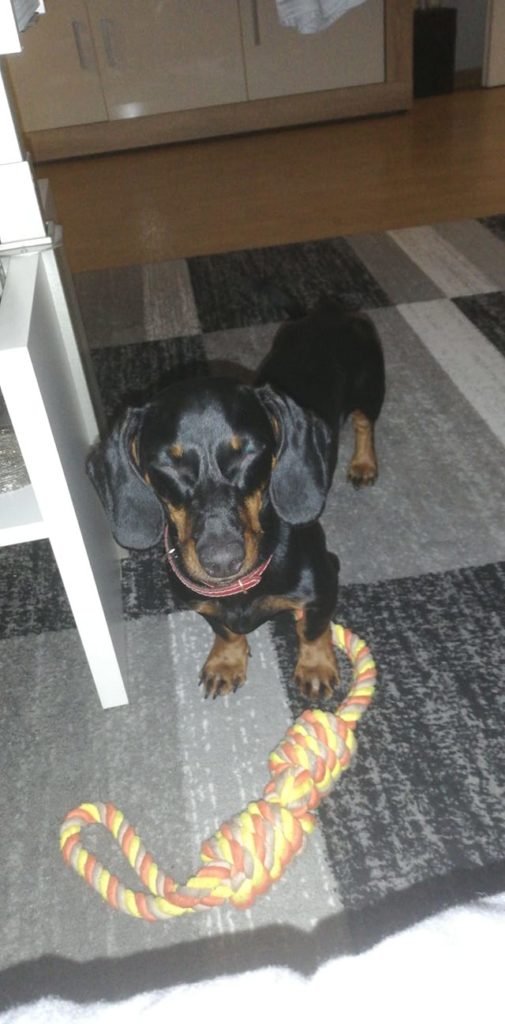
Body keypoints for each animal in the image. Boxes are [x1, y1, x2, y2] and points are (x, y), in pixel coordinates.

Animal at [87, 298, 385, 700]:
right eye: (167, 463)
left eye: (249, 452)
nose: (222, 562)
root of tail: (331, 312)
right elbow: (223, 628)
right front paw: (226, 661)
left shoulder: (324, 580)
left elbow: (312, 627)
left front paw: (315, 667)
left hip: (370, 390)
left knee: (364, 423)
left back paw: (364, 463)